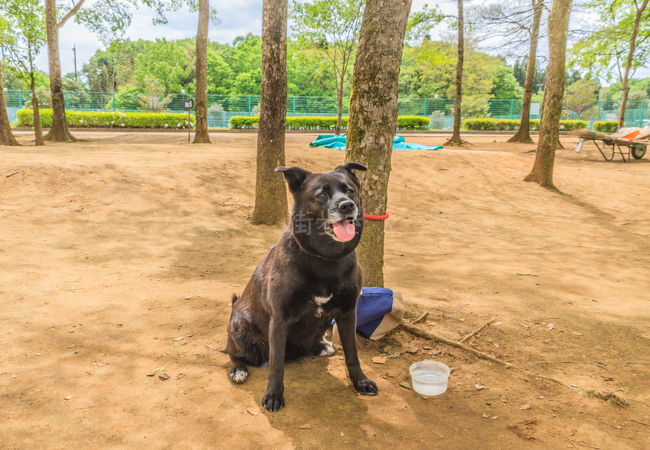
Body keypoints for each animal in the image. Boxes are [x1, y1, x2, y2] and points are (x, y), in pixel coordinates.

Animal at [227, 162, 374, 412]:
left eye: (350, 190)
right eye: (322, 194)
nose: (347, 205)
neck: (325, 259)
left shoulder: (347, 312)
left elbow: (353, 354)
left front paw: (360, 381)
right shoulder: (279, 318)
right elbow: (276, 365)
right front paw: (274, 395)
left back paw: (321, 346)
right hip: (240, 327)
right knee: (234, 353)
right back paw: (238, 369)